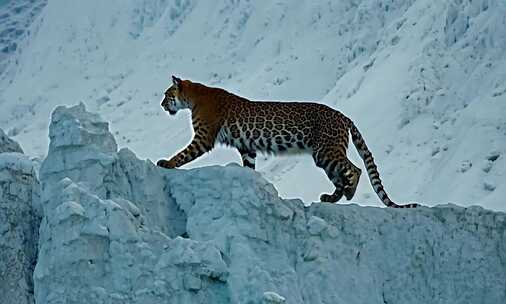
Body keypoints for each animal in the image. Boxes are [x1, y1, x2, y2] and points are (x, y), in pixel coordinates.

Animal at [158, 76, 420, 209]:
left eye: (167, 94)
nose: (161, 105)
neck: (192, 97)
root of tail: (343, 115)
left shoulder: (203, 138)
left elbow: (184, 153)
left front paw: (166, 163)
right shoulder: (247, 148)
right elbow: (249, 167)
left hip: (326, 151)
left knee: (354, 169)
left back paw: (349, 193)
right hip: (325, 156)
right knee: (341, 175)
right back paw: (331, 198)